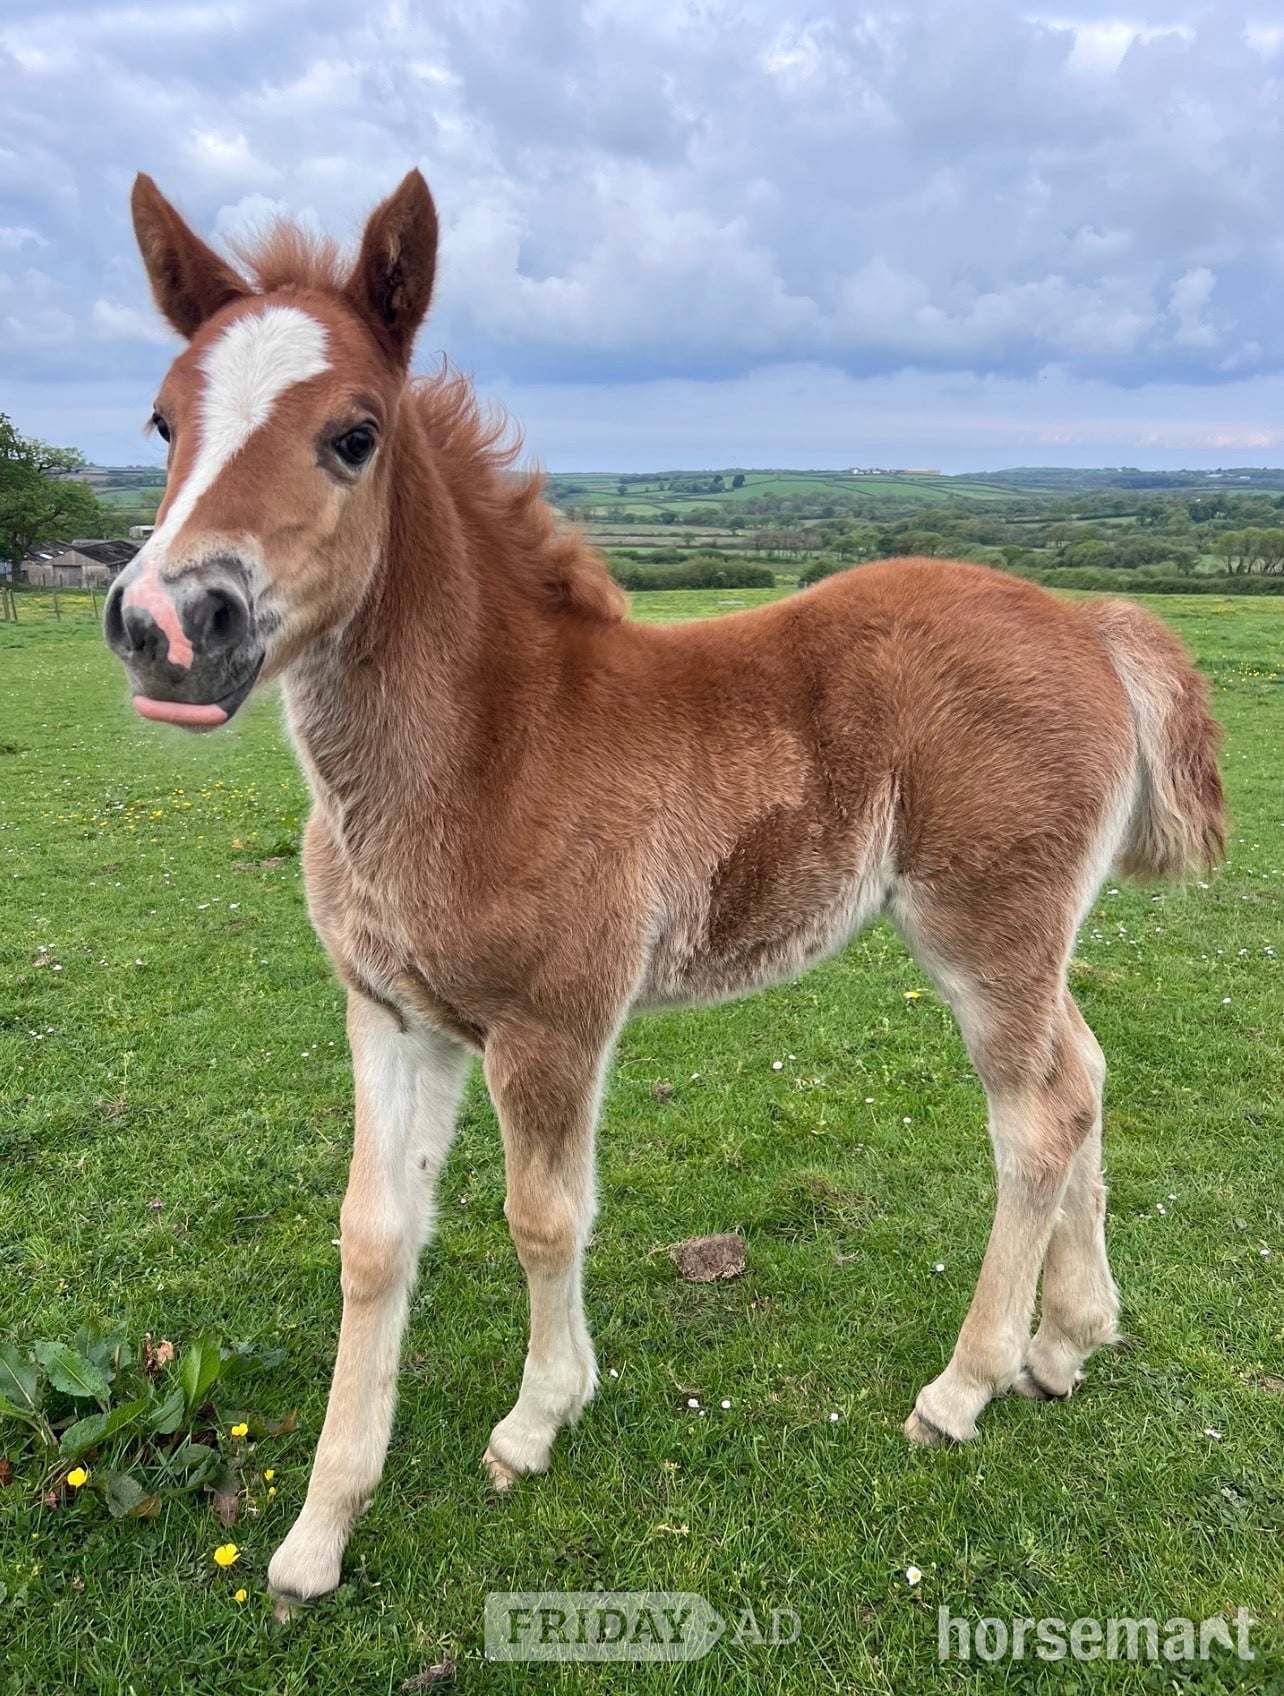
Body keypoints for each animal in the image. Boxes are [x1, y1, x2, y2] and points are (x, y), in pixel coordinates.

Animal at [104, 169, 1225, 1603]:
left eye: (354, 435)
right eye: (161, 421)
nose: (169, 626)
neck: (487, 746)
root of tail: (1088, 619)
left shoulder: (554, 1022)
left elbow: (543, 1218)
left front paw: (538, 1418)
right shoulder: (391, 1014)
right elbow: (372, 1237)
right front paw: (315, 1534)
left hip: (984, 930)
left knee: (1035, 1122)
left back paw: (962, 1386)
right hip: (1030, 941)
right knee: (1083, 1079)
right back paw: (1069, 1341)